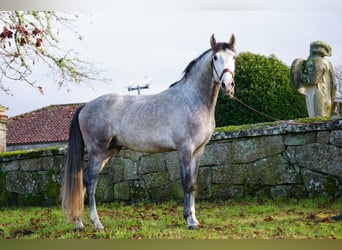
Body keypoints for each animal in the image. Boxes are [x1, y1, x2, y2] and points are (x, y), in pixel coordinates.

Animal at [61, 33, 236, 230]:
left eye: (234, 57)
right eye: (215, 58)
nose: (228, 84)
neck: (192, 100)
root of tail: (84, 107)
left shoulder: (199, 150)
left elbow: (193, 184)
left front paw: (195, 219)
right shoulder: (185, 149)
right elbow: (186, 184)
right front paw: (189, 221)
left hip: (108, 151)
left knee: (83, 181)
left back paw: (79, 223)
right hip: (97, 151)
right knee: (90, 182)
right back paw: (97, 223)